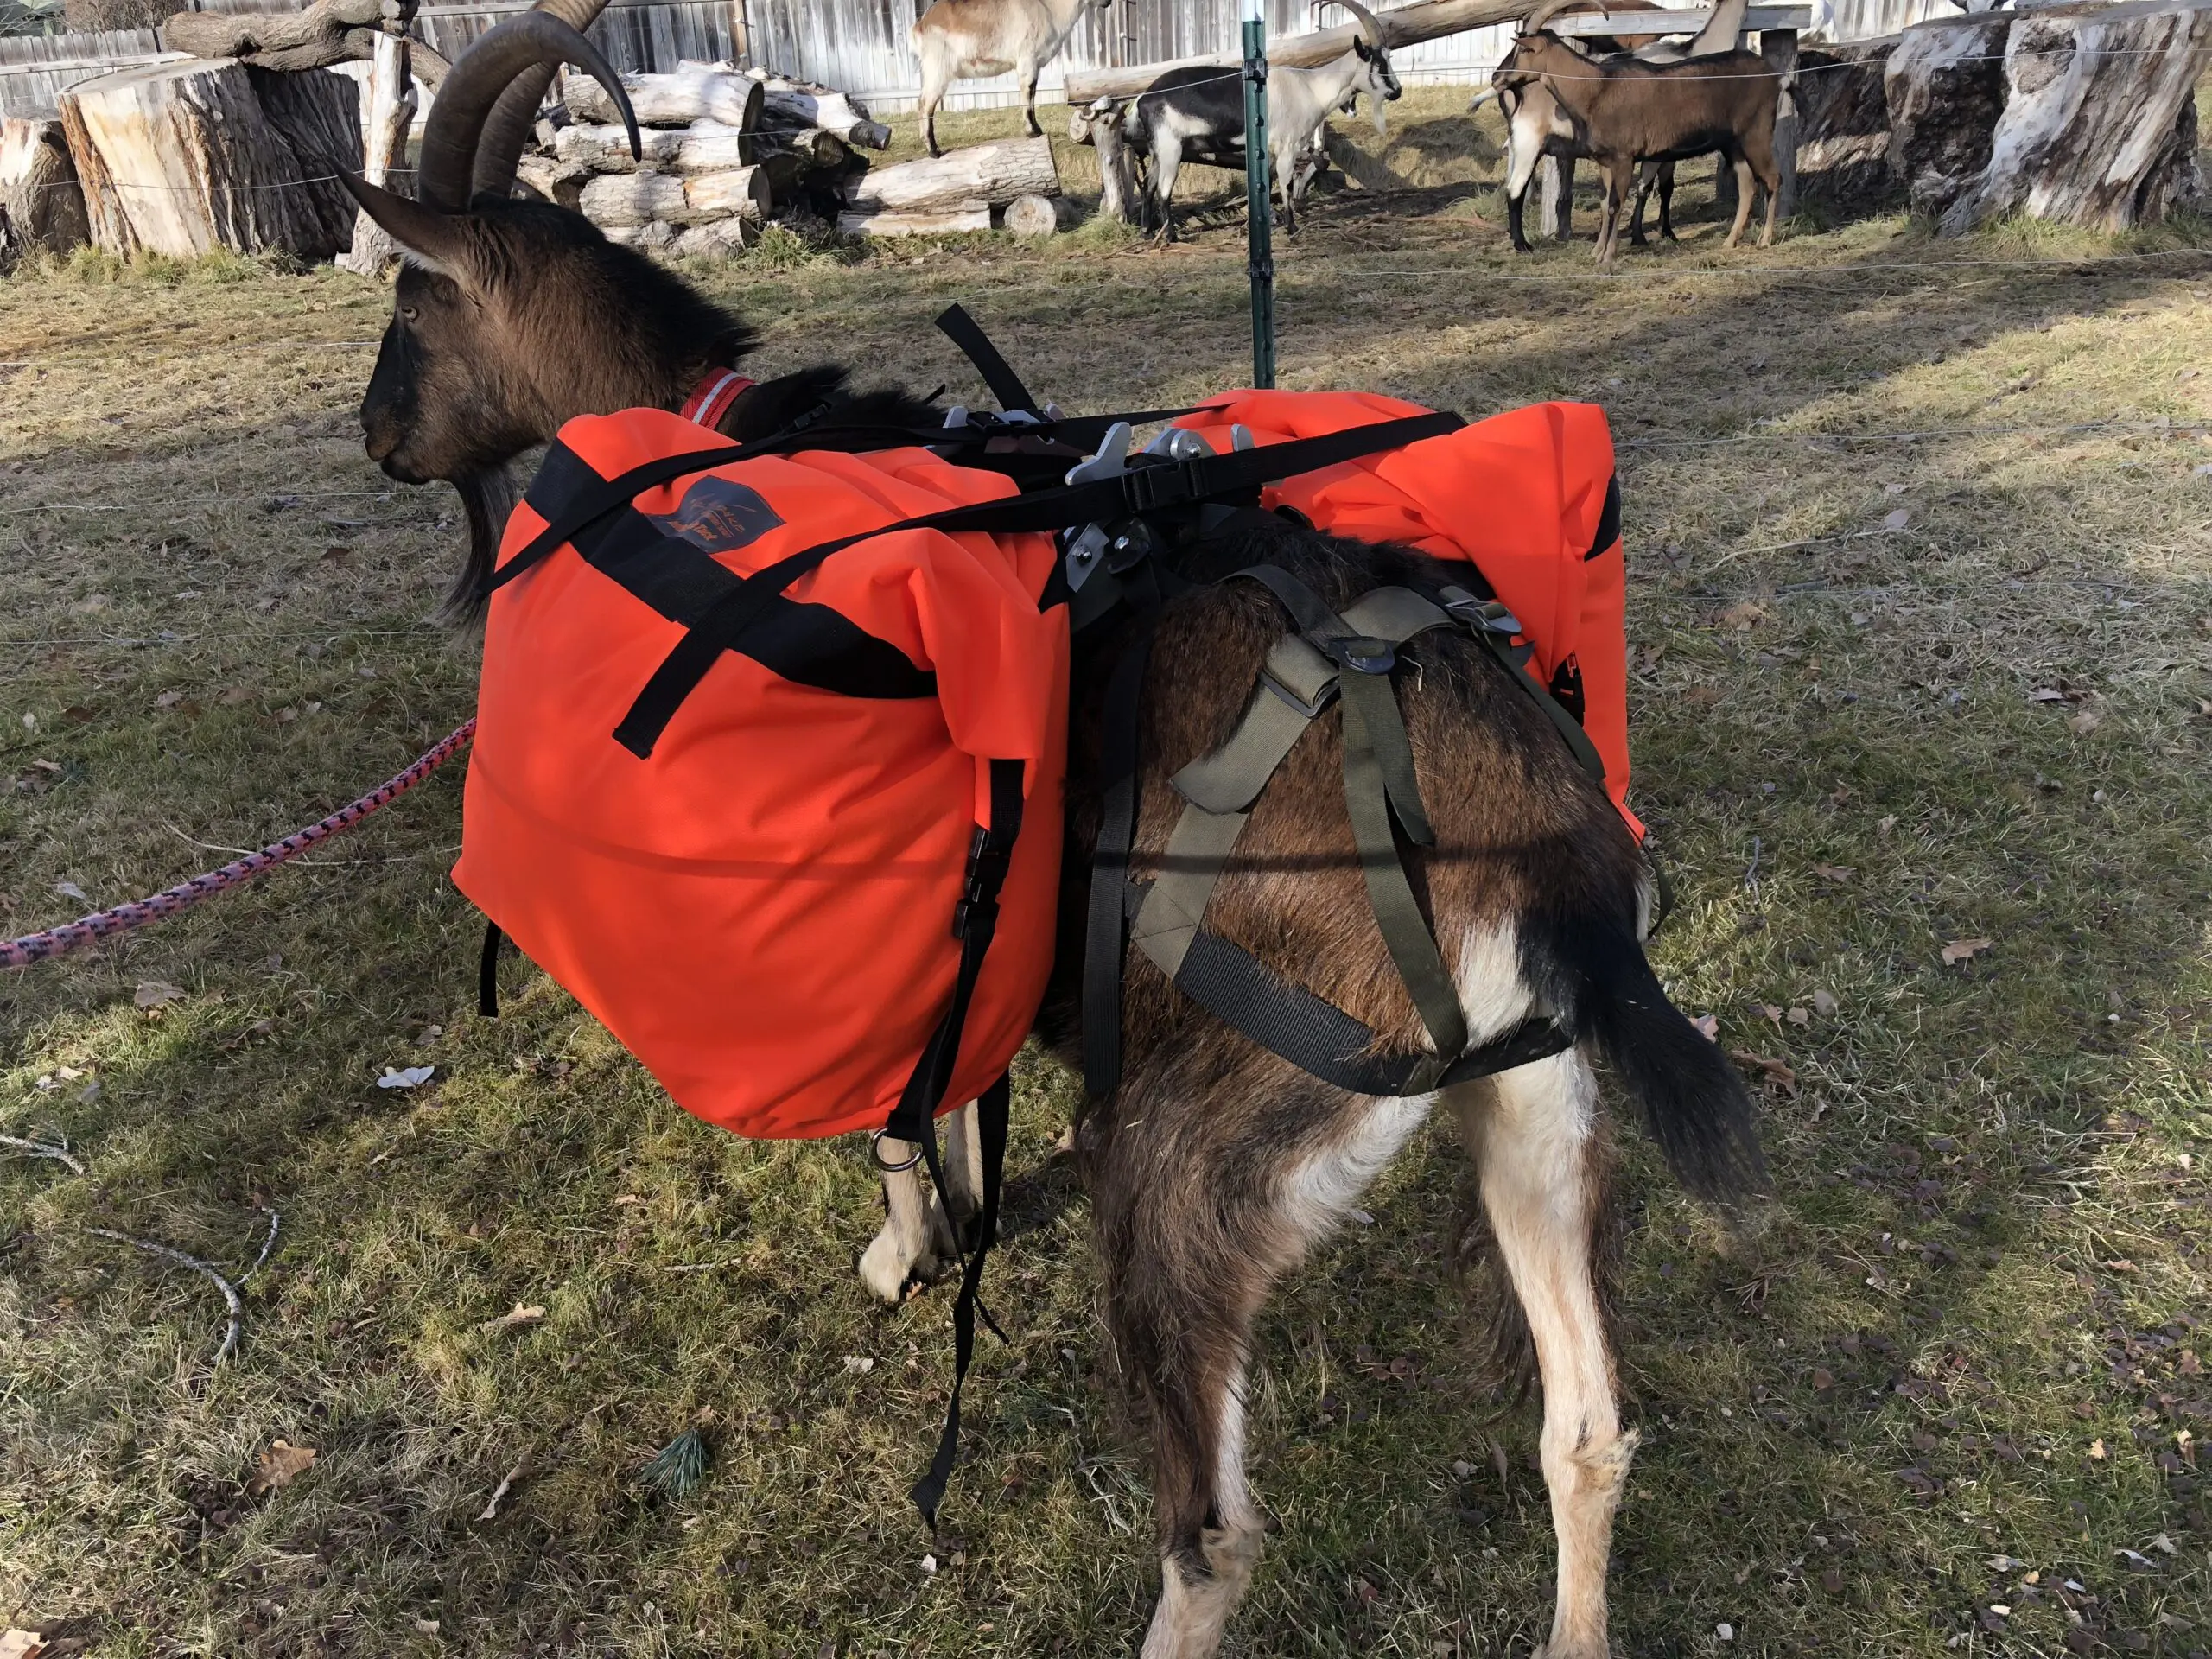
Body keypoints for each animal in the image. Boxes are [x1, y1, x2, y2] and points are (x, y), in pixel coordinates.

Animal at [912, 0, 1111, 158]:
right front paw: (1033, 132)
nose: (1107, 2)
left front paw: (1036, 129)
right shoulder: (1027, 60)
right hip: (937, 69)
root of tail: (921, 24)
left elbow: (1032, 94)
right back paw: (934, 150)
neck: (1048, 7)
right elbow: (1028, 93)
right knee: (925, 103)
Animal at [1123, 0, 1400, 239]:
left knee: (1148, 184)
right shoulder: (1288, 146)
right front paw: (1291, 228)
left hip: (1157, 147)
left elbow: (1268, 183)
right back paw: (1170, 236)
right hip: (1171, 146)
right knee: (1163, 189)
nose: (1397, 92)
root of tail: (1143, 98)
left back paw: (1146, 231)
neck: (1312, 88)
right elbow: (1286, 184)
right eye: (1378, 63)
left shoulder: (1270, 150)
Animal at [1495, 0, 1783, 263]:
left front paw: (1609, 255)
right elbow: (1607, 203)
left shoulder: (1626, 158)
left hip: (1756, 133)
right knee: (1748, 183)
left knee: (1771, 177)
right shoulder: (1608, 162)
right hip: (1734, 143)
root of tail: (1771, 73)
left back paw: (1764, 239)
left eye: (1523, 49)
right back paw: (1731, 240)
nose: (1497, 78)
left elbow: (1618, 203)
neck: (1599, 87)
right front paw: (1599, 251)